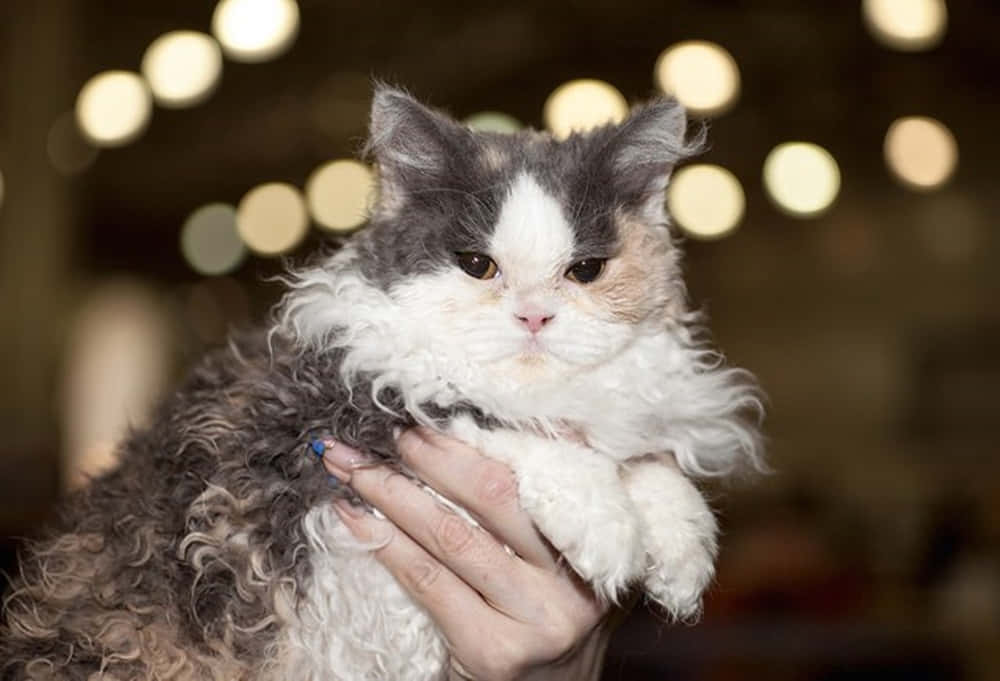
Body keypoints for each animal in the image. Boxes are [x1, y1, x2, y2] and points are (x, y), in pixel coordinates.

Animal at [1, 85, 764, 680]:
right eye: (477, 265)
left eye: (586, 271)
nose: (534, 315)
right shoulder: (330, 413)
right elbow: (484, 415)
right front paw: (605, 525)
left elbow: (648, 461)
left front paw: (682, 552)